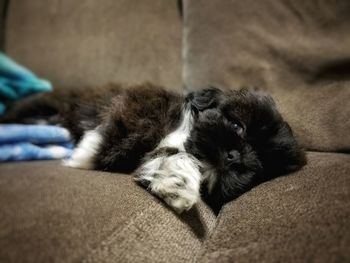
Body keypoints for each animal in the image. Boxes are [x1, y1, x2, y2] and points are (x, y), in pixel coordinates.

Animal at [0, 83, 306, 214]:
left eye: (261, 167)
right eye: (236, 126)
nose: (235, 156)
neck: (181, 132)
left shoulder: (167, 151)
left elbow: (171, 161)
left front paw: (179, 188)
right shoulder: (141, 105)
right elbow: (123, 131)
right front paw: (86, 152)